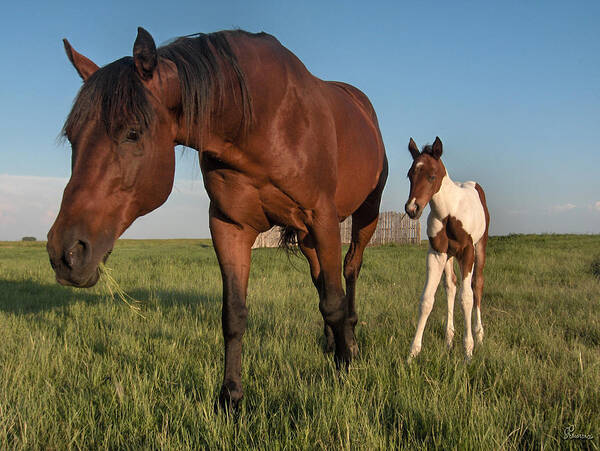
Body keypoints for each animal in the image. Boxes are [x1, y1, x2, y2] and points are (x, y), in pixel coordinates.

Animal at [45, 28, 384, 410]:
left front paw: (344, 370)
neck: (264, 120)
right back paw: (330, 343)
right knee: (320, 278)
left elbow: (334, 302)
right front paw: (231, 397)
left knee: (349, 270)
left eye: (132, 132)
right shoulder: (229, 226)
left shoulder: (322, 217)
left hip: (363, 215)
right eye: (72, 137)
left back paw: (349, 343)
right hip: (306, 234)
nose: (65, 253)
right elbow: (234, 313)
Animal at [406, 137, 490, 360]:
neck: (449, 213)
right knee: (450, 285)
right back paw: (449, 338)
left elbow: (466, 297)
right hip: (449, 256)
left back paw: (479, 334)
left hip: (480, 245)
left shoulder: (467, 252)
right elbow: (427, 299)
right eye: (410, 175)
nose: (412, 209)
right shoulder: (436, 253)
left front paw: (468, 350)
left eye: (432, 176)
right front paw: (413, 353)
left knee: (477, 285)